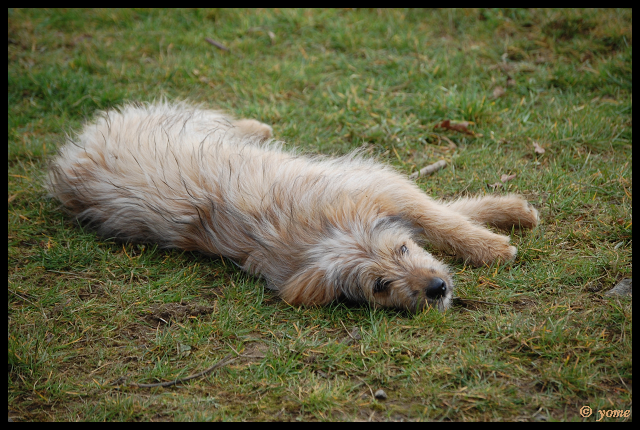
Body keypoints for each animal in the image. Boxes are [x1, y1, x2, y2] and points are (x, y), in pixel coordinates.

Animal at [46, 103, 540, 314]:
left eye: (402, 251)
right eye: (380, 286)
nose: (437, 288)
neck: (319, 231)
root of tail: (72, 155)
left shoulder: (385, 189)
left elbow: (446, 216)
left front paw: (501, 228)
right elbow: (448, 214)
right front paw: (499, 234)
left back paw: (256, 127)